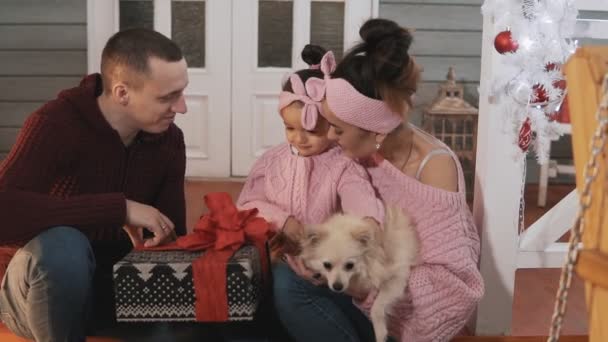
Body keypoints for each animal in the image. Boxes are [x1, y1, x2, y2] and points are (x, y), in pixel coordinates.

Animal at [300, 206, 418, 342]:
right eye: (327, 265)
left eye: (350, 265)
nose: (337, 286)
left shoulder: (397, 277)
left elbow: (376, 308)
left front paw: (380, 333)